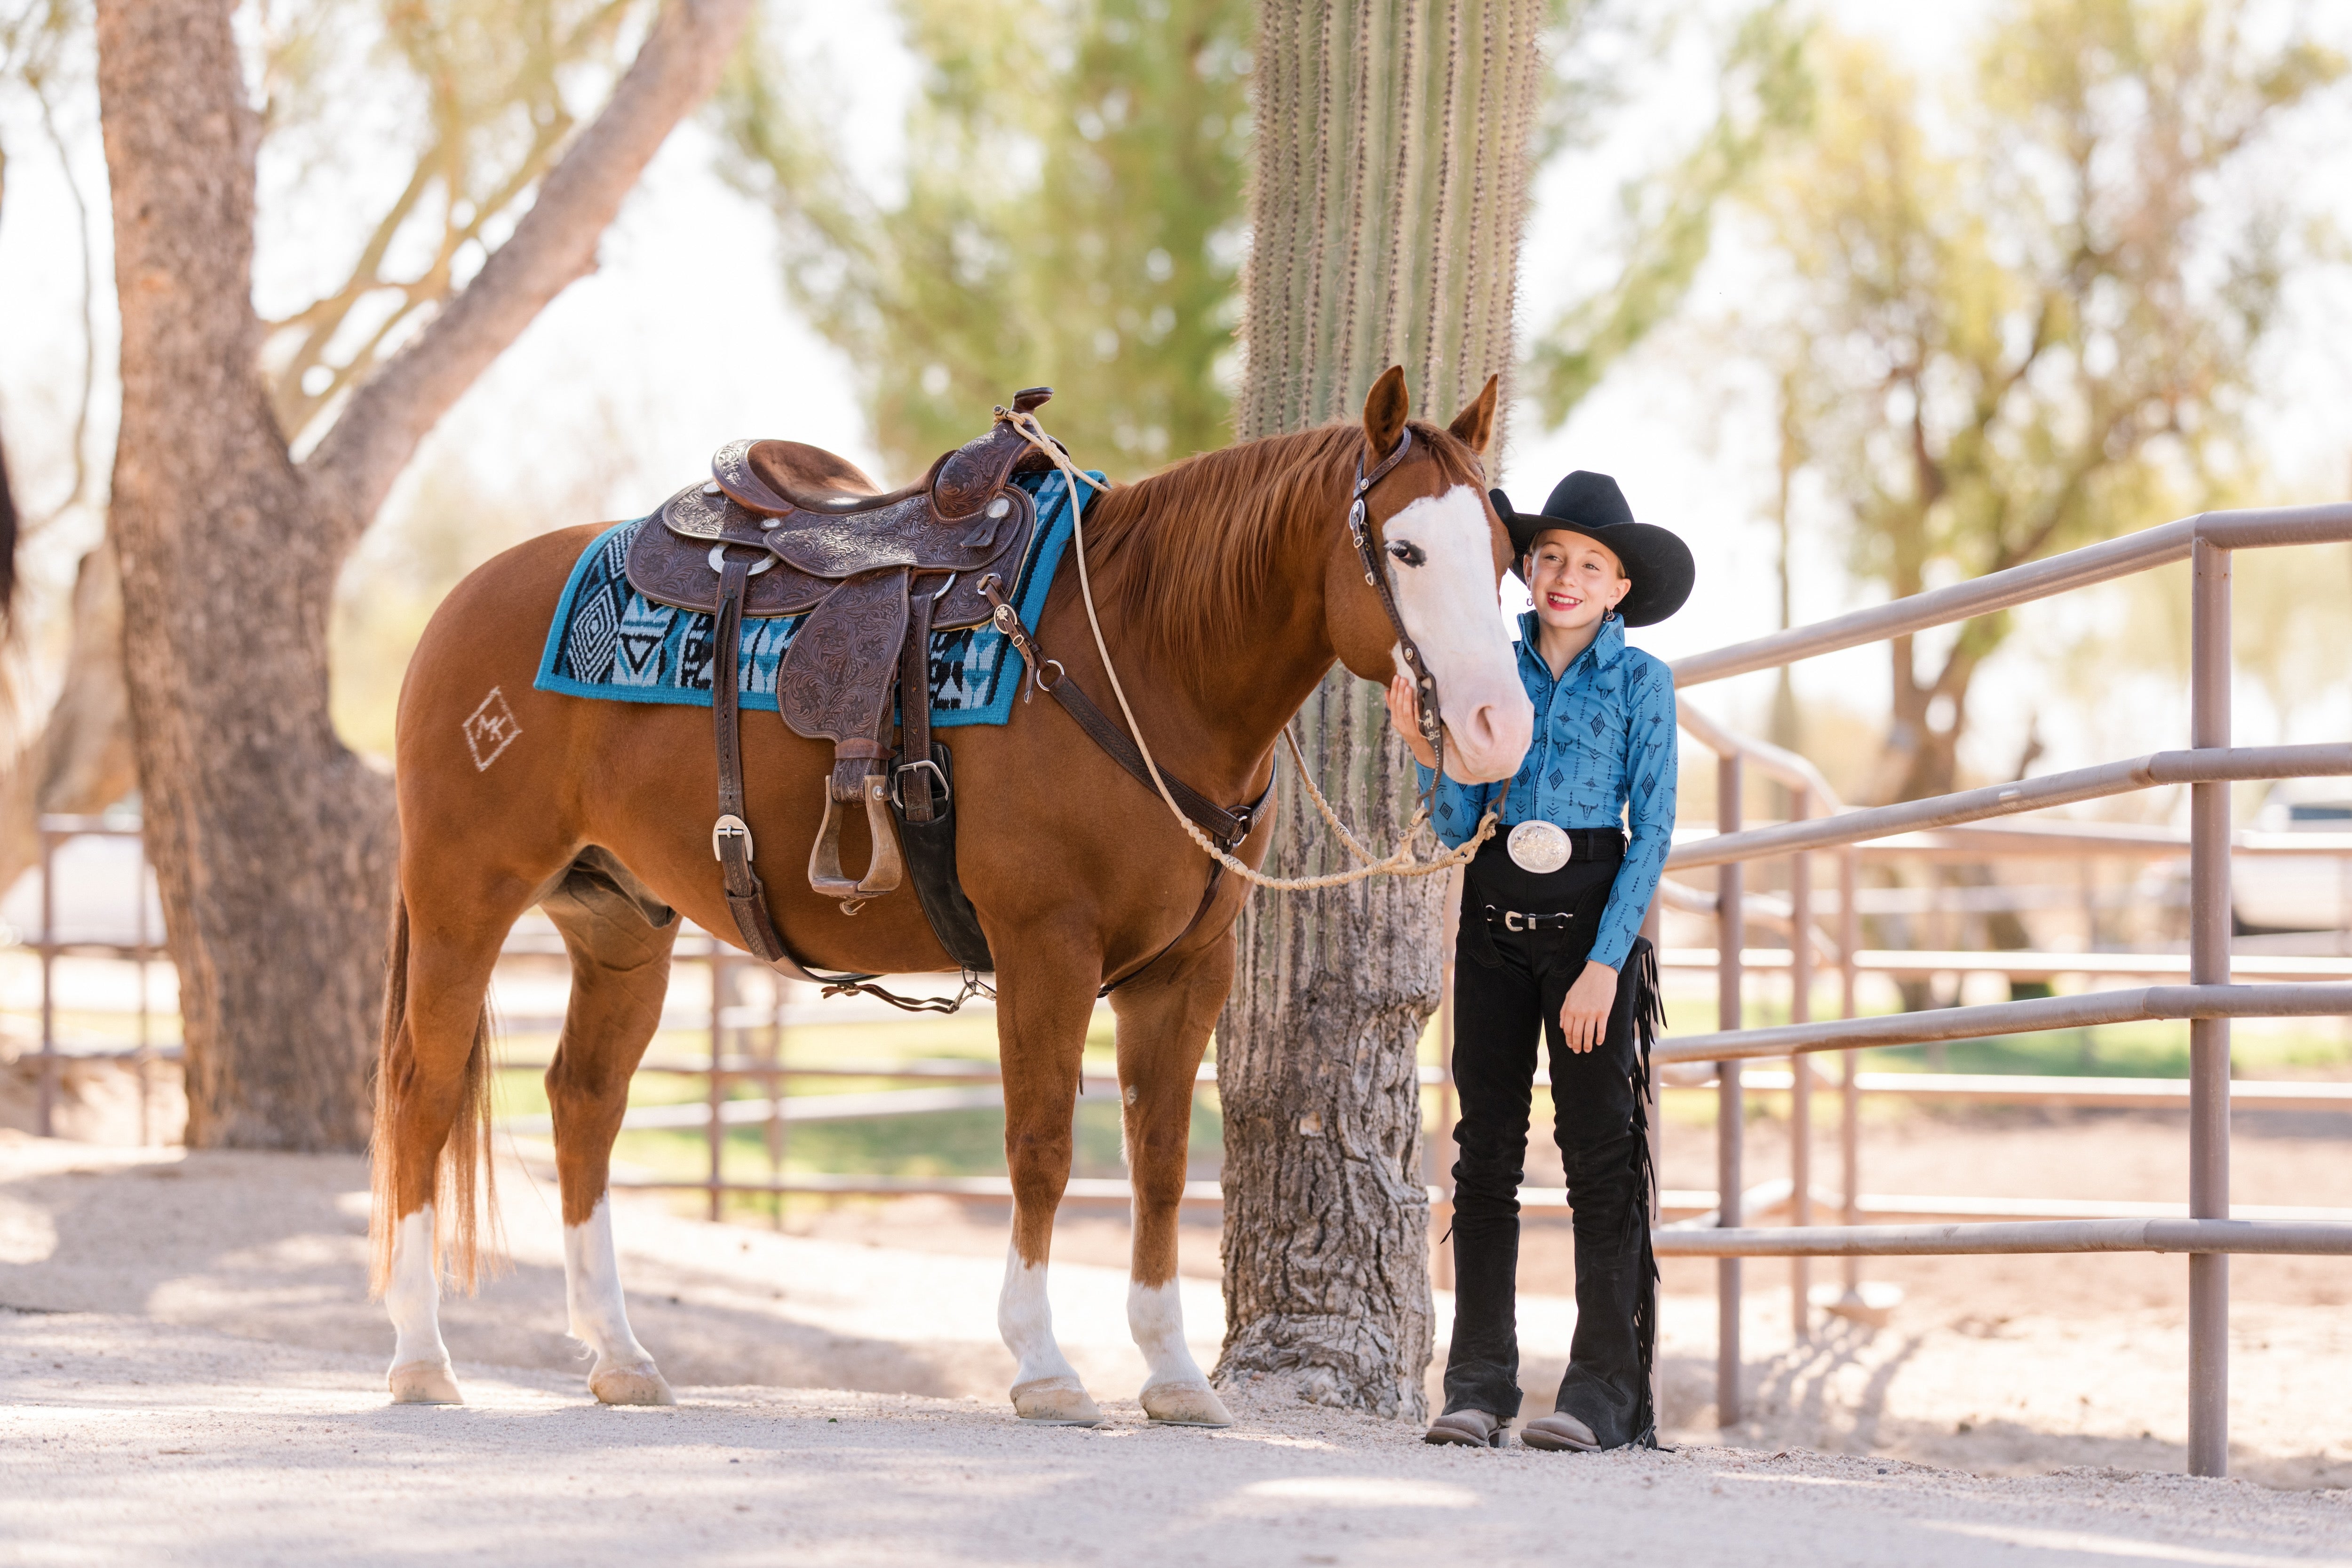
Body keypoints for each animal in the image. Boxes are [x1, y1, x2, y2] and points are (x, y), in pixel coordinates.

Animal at [374, 369, 1534, 1420]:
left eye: (1503, 553)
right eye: (1406, 551)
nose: (1498, 727)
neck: (1144, 658)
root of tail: (460, 603)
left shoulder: (1184, 972)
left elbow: (1162, 1161)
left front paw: (1171, 1373)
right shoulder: (1045, 947)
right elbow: (1042, 1146)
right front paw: (1044, 1366)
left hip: (620, 923)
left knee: (585, 1101)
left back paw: (618, 1355)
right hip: (463, 896)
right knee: (424, 1095)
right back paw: (422, 1357)